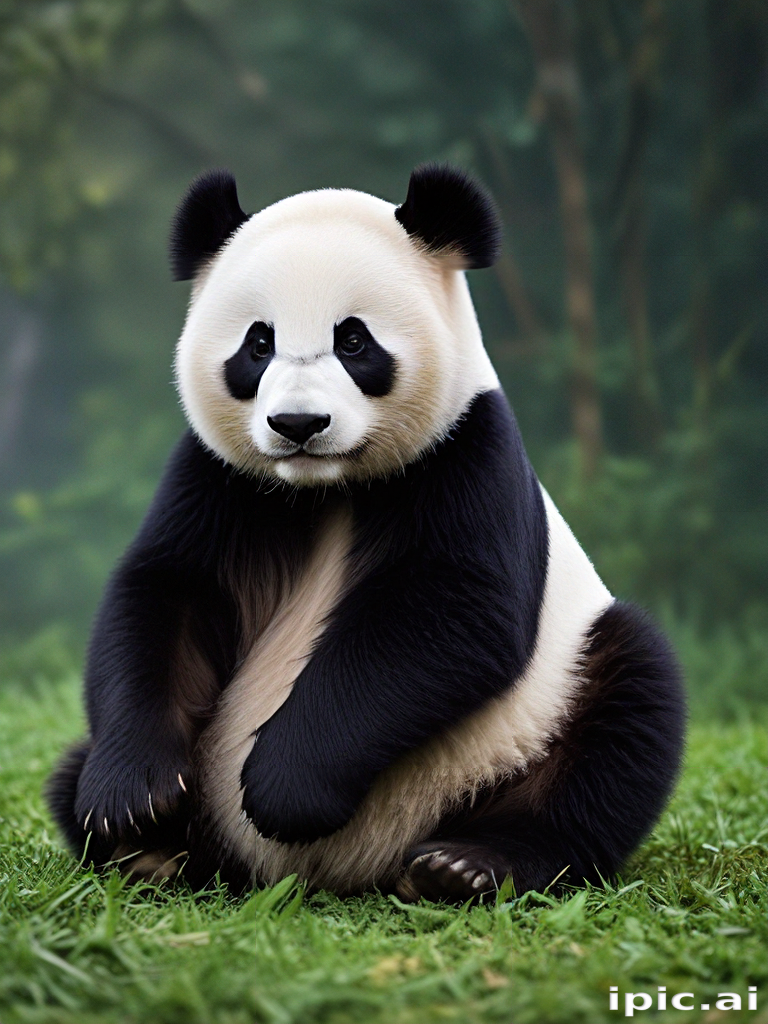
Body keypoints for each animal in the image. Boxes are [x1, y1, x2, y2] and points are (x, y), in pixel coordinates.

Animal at [47, 164, 685, 904]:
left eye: (353, 342)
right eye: (258, 344)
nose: (298, 424)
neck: (328, 487)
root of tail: (341, 874)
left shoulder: (467, 452)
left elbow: (450, 612)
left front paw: (284, 790)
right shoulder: (220, 478)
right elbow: (169, 592)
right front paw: (133, 798)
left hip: (529, 721)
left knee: (619, 716)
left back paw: (466, 866)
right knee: (68, 773)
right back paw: (152, 853)